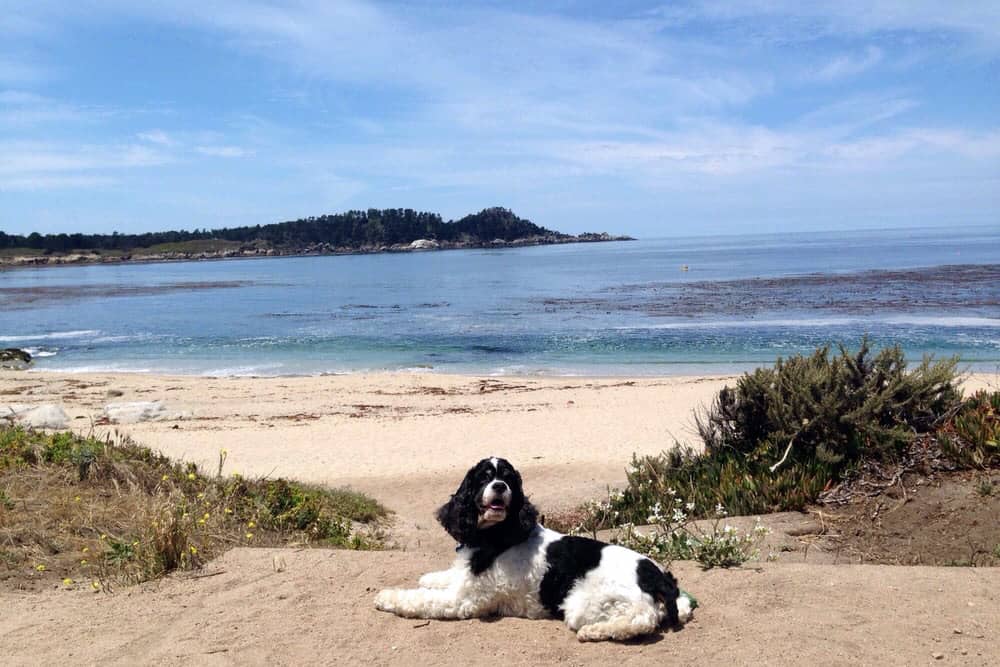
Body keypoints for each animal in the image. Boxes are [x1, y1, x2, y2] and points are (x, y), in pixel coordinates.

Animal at [372, 460, 692, 640]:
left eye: (509, 479)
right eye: (484, 477)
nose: (499, 486)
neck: (497, 534)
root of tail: (656, 575)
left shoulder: (465, 600)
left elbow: (420, 599)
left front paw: (387, 596)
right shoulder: (463, 580)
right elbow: (443, 577)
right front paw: (430, 577)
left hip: (585, 603)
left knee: (643, 619)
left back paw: (596, 632)